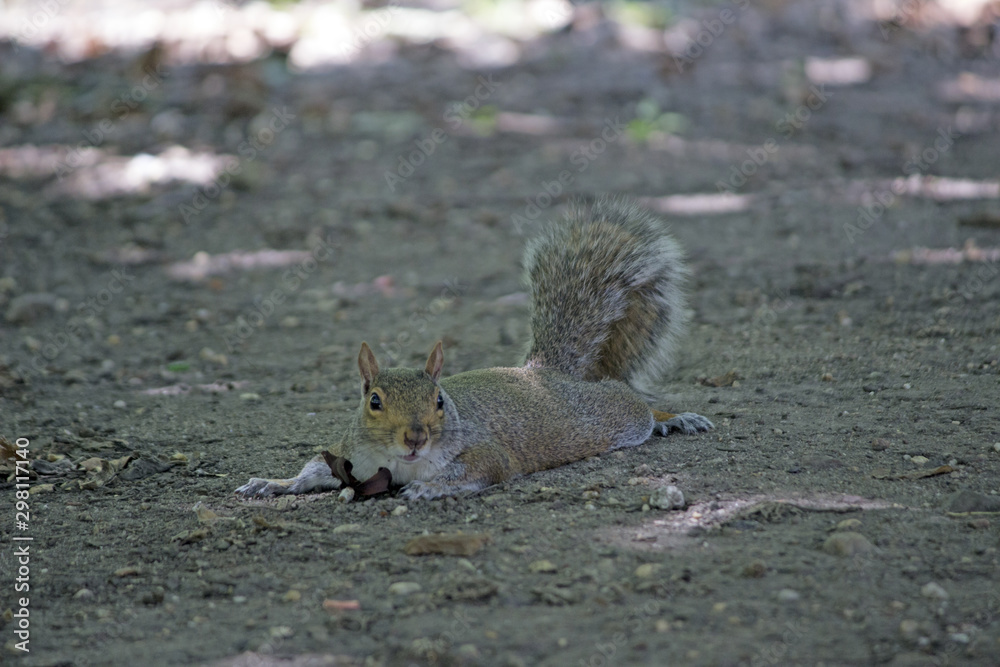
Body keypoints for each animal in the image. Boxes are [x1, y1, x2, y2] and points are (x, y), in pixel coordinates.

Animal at [236, 197, 713, 501]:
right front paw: (274, 483)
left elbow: (480, 468)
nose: (415, 437)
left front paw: (429, 487)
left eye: (439, 400)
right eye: (373, 402)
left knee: (634, 404)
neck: (399, 461)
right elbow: (313, 470)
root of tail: (544, 374)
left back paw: (674, 418)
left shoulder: (487, 452)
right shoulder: (348, 454)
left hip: (612, 417)